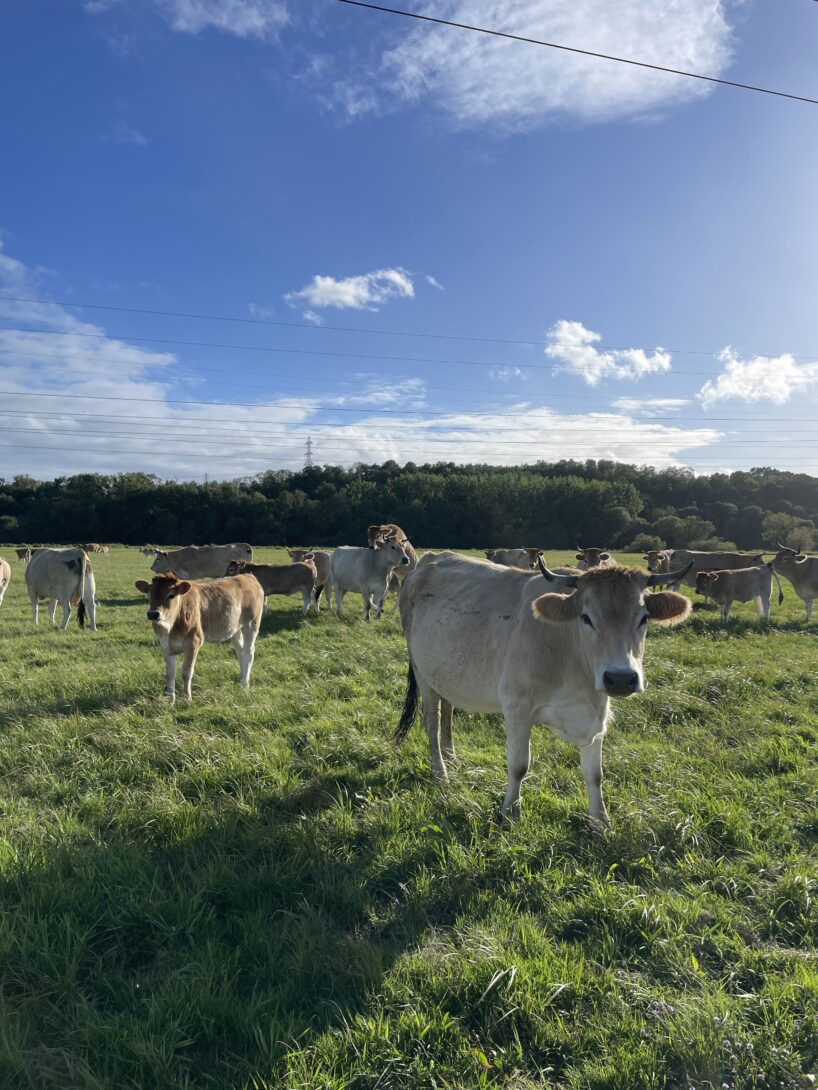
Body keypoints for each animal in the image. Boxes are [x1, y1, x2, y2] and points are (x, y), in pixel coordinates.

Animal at [134, 572, 264, 703]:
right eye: (149, 593)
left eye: (171, 595)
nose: (153, 614)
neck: (170, 628)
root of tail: (247, 576)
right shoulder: (166, 646)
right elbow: (170, 674)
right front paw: (170, 700)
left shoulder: (193, 642)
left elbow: (186, 672)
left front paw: (187, 699)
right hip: (235, 628)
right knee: (240, 651)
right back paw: (241, 680)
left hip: (251, 623)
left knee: (248, 652)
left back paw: (245, 685)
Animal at [395, 553, 692, 823]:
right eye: (586, 617)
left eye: (643, 618)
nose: (620, 678)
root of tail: (426, 561)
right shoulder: (517, 708)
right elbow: (518, 766)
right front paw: (510, 813)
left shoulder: (596, 717)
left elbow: (594, 774)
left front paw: (600, 823)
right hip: (422, 673)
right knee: (432, 723)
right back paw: (440, 772)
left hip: (444, 673)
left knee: (447, 711)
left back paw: (451, 756)